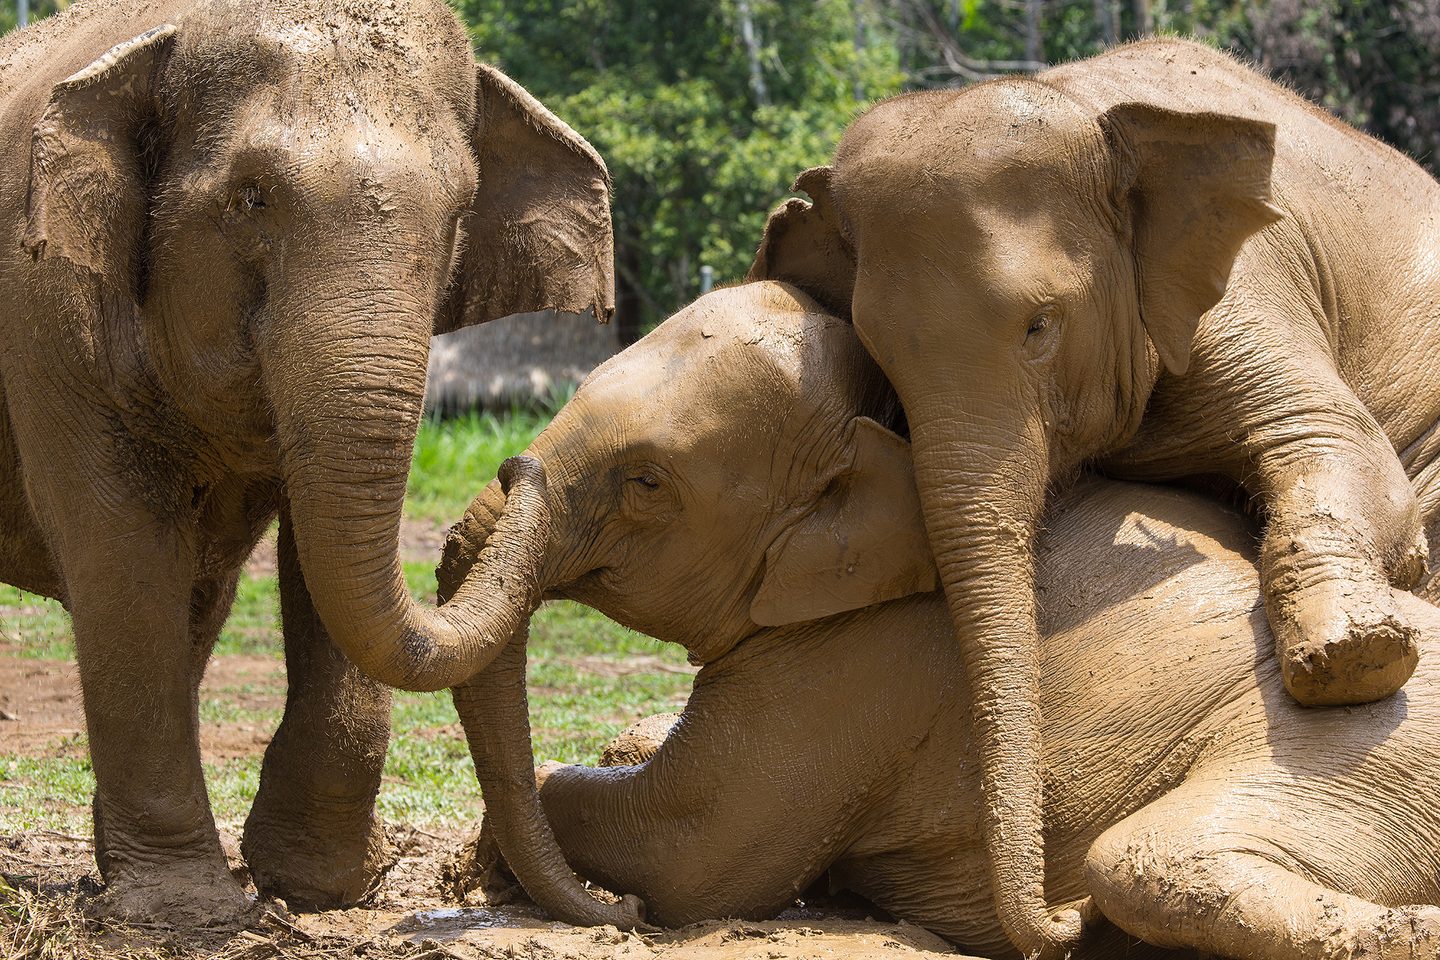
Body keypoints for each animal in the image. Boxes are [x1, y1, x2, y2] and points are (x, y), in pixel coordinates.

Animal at [0, 0, 640, 930]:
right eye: (250, 197)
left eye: (459, 212)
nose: (520, 465)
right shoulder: (44, 314)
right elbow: (123, 552)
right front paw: (184, 912)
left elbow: (317, 548)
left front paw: (315, 887)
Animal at [440, 280, 1440, 960]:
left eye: (647, 483)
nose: (622, 922)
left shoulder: (869, 662)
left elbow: (693, 850)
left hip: (1352, 757)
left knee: (1147, 860)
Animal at [744, 37, 1440, 955]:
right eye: (878, 356)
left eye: (1040, 326)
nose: (1068, 916)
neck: (1085, 111)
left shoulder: (1247, 284)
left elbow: (1337, 442)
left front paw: (1350, 662)